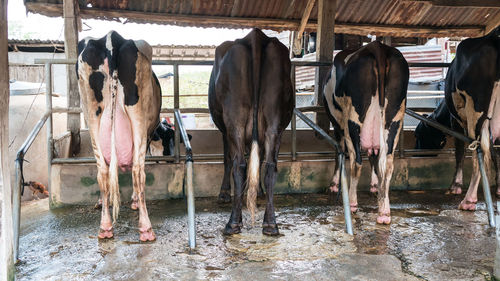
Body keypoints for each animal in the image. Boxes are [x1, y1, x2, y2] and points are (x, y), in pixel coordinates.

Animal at [76, 31, 160, 241]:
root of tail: (111, 38)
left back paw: (106, 226)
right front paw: (134, 200)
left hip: (92, 116)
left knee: (103, 172)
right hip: (138, 116)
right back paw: (145, 228)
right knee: (137, 170)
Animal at [207, 28, 292, 234]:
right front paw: (259, 191)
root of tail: (255, 36)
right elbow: (259, 160)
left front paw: (224, 193)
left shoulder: (224, 130)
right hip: (274, 122)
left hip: (234, 120)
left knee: (239, 165)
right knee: (270, 165)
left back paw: (233, 223)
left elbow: (227, 159)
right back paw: (270, 223)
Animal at [324, 41, 410, 223]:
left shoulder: (337, 126)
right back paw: (384, 212)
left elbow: (338, 150)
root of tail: (378, 47)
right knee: (387, 163)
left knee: (356, 161)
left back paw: (352, 203)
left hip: (352, 120)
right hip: (395, 120)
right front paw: (375, 185)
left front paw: (334, 185)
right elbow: (374, 157)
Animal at [414, 25, 500, 208]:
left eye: (418, 135)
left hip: (476, 109)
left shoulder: (457, 122)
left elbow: (460, 151)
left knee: (478, 150)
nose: (417, 153)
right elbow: (494, 151)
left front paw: (455, 185)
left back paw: (469, 199)